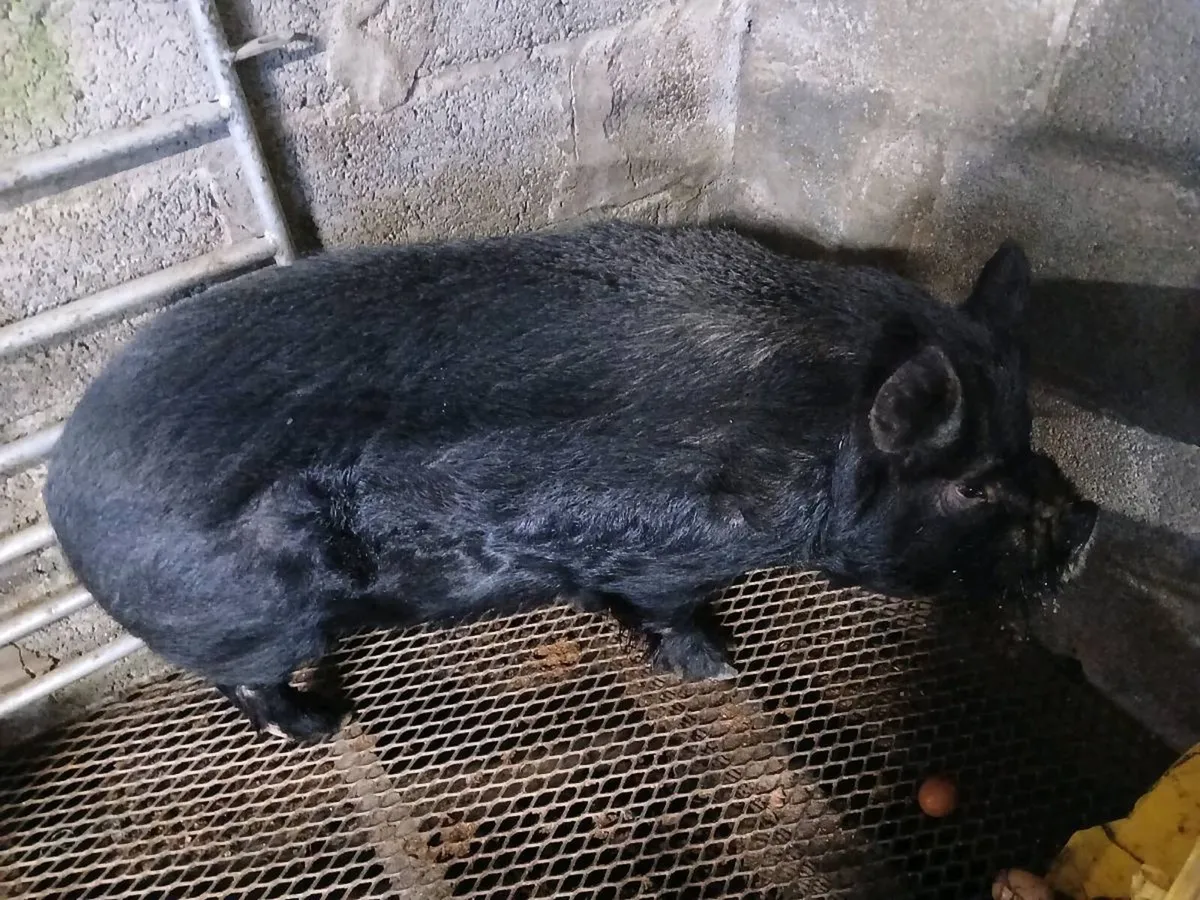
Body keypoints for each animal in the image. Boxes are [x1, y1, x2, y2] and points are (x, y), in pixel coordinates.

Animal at [43, 222, 1097, 742]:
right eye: (970, 488)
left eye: (1029, 435)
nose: (1087, 520)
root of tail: (59, 492)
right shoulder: (675, 551)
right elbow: (674, 612)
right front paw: (718, 668)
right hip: (249, 619)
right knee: (244, 685)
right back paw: (324, 725)